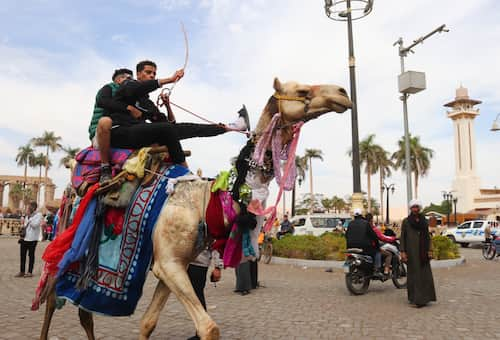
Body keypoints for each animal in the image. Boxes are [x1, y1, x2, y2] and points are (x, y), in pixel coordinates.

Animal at [38, 77, 352, 340]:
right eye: (302, 90)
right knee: (52, 299)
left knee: (83, 311)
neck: (205, 200)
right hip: (65, 236)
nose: (343, 93)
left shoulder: (174, 263)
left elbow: (148, 322)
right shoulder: (169, 262)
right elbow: (209, 328)